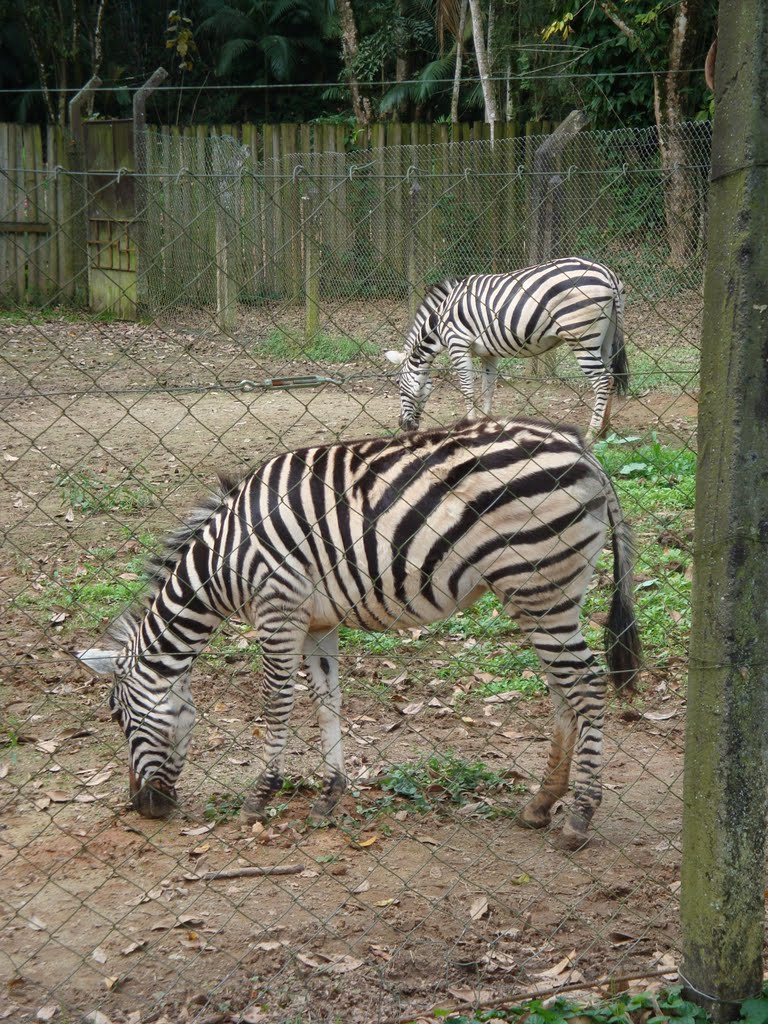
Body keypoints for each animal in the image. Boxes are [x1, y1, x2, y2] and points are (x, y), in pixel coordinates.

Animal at [76, 413, 643, 847]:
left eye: (118, 717)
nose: (143, 808)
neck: (224, 560)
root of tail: (580, 446)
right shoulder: (315, 622)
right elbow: (327, 702)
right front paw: (330, 794)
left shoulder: (278, 609)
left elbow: (277, 703)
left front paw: (260, 796)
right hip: (548, 593)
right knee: (562, 689)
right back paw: (541, 803)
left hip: (539, 585)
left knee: (587, 686)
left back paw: (579, 817)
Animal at [387, 256, 626, 440]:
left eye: (398, 383)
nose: (403, 425)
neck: (440, 321)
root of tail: (607, 273)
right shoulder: (488, 354)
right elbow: (488, 388)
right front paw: (485, 423)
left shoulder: (458, 344)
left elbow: (467, 389)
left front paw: (470, 423)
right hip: (606, 337)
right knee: (611, 377)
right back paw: (605, 431)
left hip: (581, 336)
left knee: (602, 381)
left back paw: (592, 434)